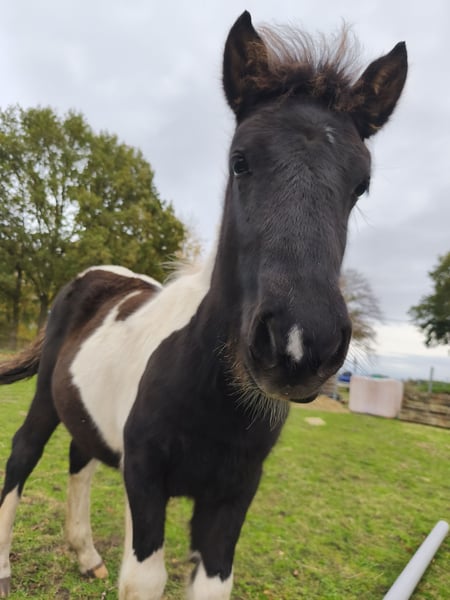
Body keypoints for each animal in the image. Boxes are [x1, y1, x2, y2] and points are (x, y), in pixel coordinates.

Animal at [0, 11, 407, 600]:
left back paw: (86, 556)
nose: (299, 346)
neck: (213, 393)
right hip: (44, 403)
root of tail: (97, 276)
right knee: (23, 454)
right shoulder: (145, 478)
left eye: (362, 185)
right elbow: (145, 579)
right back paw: (5, 566)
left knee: (80, 457)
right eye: (240, 162)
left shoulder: (232, 495)